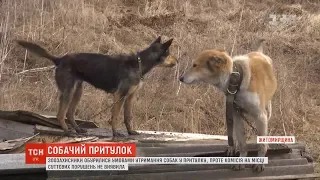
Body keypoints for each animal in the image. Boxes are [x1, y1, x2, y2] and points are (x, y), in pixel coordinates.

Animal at [16, 36, 176, 136]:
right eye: (169, 53)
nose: (177, 61)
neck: (139, 64)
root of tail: (59, 59)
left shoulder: (130, 96)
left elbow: (128, 117)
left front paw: (131, 132)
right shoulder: (119, 96)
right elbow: (115, 116)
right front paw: (115, 133)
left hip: (78, 91)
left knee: (69, 113)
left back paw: (78, 129)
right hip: (68, 90)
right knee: (60, 114)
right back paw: (67, 131)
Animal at [180, 40, 278, 172]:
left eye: (195, 65)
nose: (180, 78)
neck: (236, 81)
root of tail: (259, 52)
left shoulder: (260, 116)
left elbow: (261, 145)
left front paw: (260, 161)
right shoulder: (236, 115)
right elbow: (242, 143)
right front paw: (241, 159)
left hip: (267, 111)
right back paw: (232, 146)